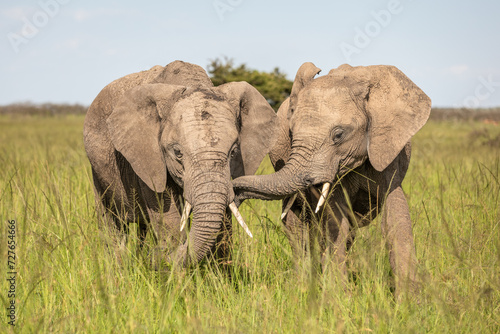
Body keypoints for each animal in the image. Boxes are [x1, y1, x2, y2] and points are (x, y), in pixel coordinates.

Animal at [83, 61, 278, 268]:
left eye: (233, 152)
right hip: (98, 172)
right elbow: (168, 218)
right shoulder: (147, 157)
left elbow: (223, 226)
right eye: (177, 152)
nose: (155, 255)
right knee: (111, 225)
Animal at [232, 61, 432, 296]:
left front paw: (409, 301)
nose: (232, 194)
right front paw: (339, 296)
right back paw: (303, 285)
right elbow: (335, 219)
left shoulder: (388, 147)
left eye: (338, 135)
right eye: (291, 133)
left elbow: (395, 216)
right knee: (296, 225)